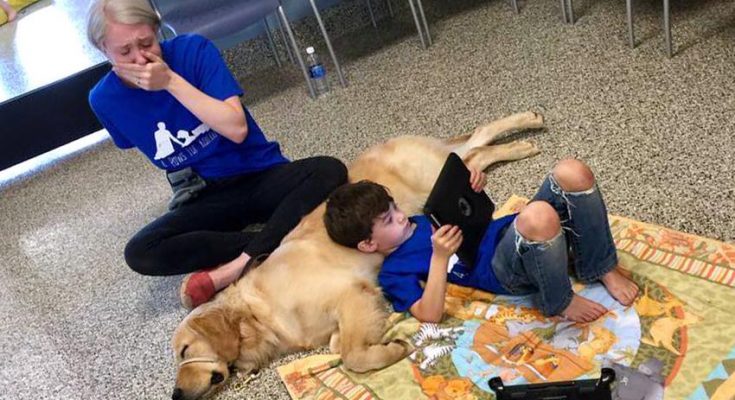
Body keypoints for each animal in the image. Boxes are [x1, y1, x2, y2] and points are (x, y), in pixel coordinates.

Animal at [170, 111, 544, 400]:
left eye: (185, 351)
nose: (176, 394)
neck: (258, 314)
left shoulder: (350, 294)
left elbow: (352, 356)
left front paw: (392, 347)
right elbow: (340, 346)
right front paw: (386, 326)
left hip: (431, 181)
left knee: (476, 153)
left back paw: (520, 143)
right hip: (440, 166)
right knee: (475, 143)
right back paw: (527, 126)